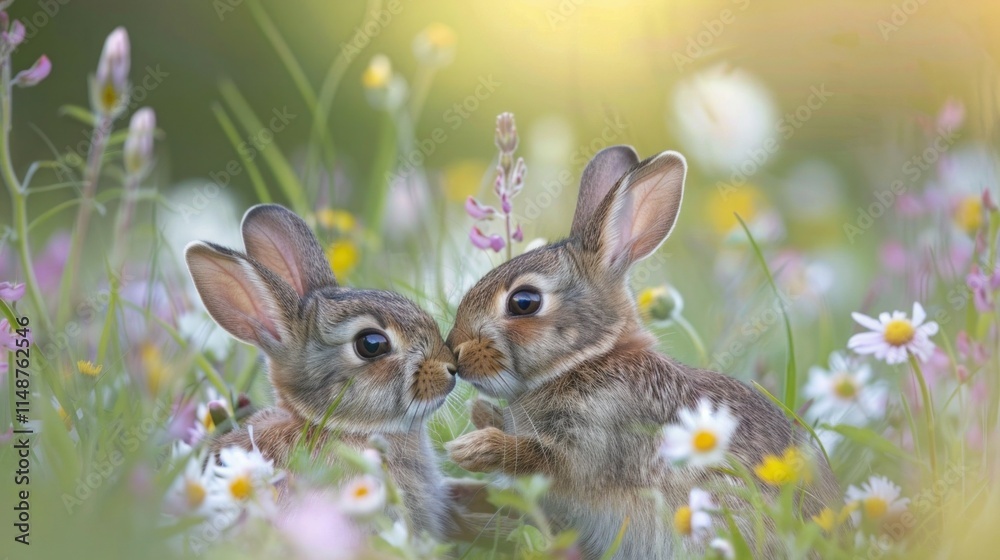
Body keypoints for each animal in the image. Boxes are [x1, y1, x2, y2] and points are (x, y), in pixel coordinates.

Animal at [445, 146, 841, 558]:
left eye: (524, 302)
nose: (454, 351)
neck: (589, 359)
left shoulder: (594, 441)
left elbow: (544, 461)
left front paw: (471, 449)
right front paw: (481, 415)